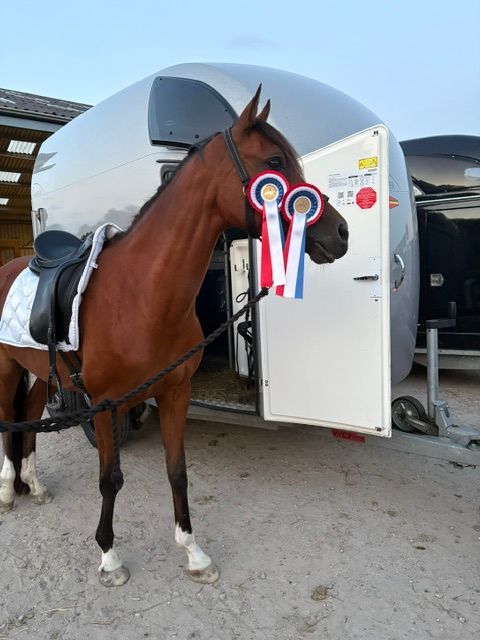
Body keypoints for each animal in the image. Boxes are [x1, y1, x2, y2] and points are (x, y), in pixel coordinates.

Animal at [0, 87, 349, 587]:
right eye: (275, 161)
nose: (340, 233)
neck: (142, 293)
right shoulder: (105, 404)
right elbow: (110, 479)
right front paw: (109, 557)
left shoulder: (174, 392)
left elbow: (177, 470)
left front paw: (193, 552)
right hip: (7, 367)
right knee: (8, 417)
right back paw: (9, 492)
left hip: (40, 373)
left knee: (28, 417)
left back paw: (35, 484)